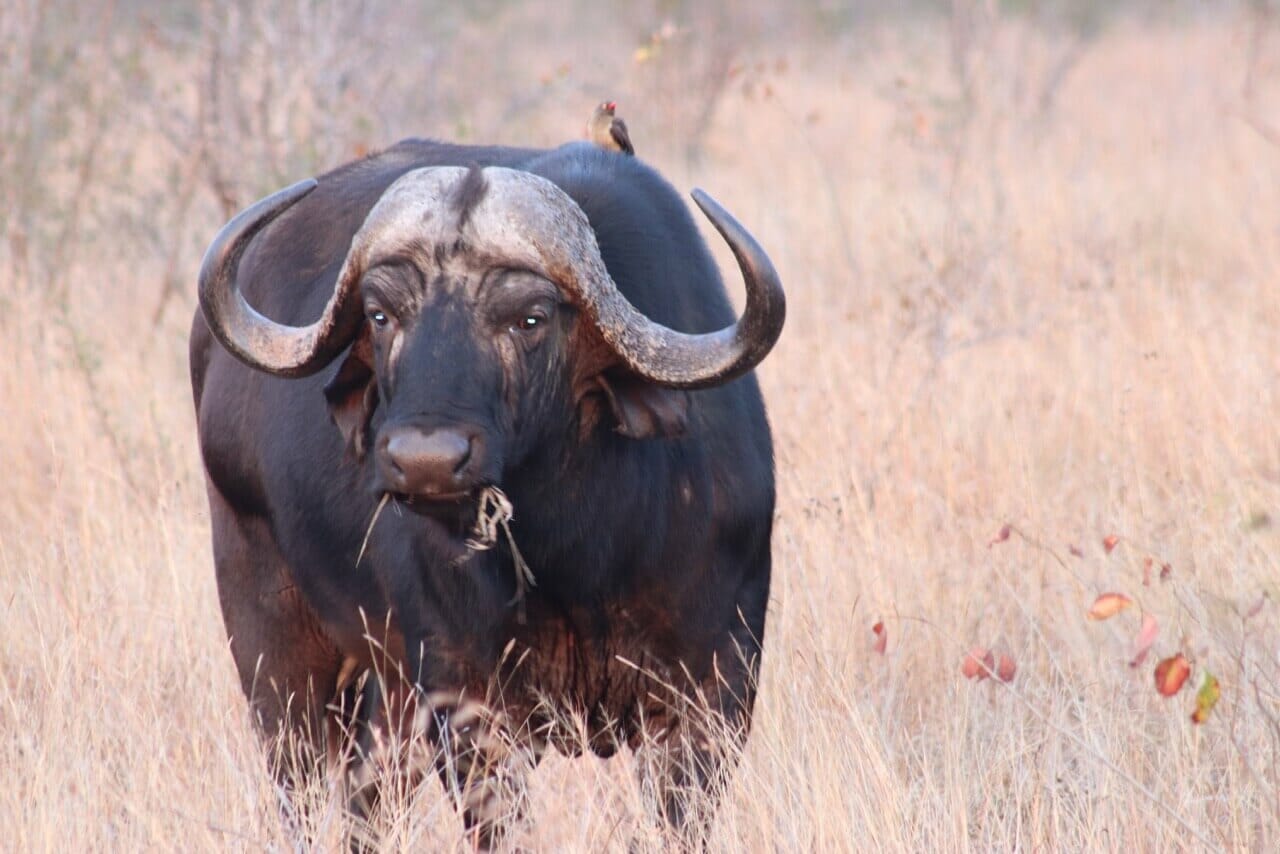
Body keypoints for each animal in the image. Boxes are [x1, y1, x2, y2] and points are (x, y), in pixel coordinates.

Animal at [189, 136, 783, 845]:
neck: (586, 555)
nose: (425, 461)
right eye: (381, 315)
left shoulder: (712, 693)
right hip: (270, 640)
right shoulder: (467, 705)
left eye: (529, 317)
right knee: (300, 790)